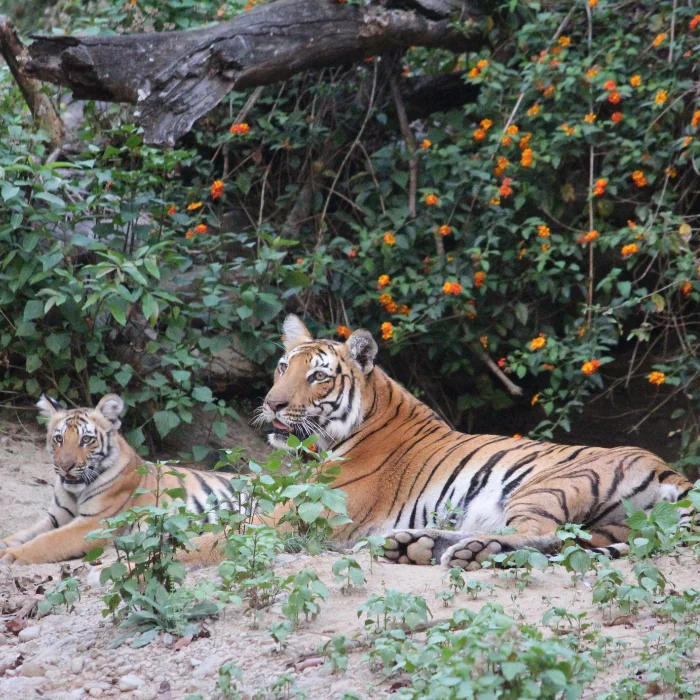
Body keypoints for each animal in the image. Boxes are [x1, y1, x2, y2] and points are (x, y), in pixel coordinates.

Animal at [0, 394, 238, 566]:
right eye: (58, 439)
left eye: (86, 440)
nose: (66, 466)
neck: (76, 491)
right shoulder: (55, 518)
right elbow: (23, 534)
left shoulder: (94, 523)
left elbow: (47, 541)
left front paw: (12, 555)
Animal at [259, 314, 694, 569]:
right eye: (282, 367)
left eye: (318, 376)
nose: (272, 403)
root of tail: (673, 473)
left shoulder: (312, 509)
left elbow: (247, 527)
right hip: (609, 528)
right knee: (562, 541)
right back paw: (412, 545)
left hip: (547, 486)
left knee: (546, 536)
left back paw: (465, 552)